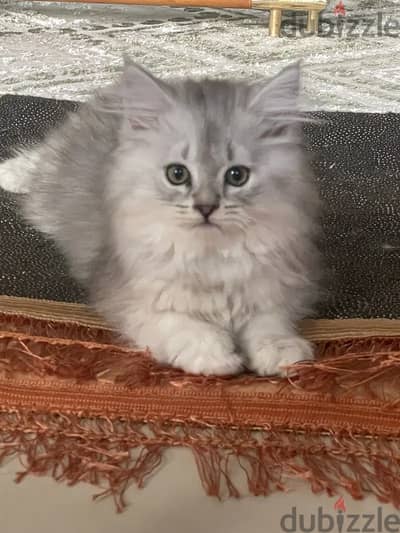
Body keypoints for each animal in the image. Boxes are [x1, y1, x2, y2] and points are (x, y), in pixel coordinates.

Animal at [0, 59, 318, 374]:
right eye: (177, 174)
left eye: (236, 176)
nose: (206, 207)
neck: (210, 257)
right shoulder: (130, 296)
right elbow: (181, 326)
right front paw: (216, 357)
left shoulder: (276, 288)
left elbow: (269, 322)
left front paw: (281, 350)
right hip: (50, 186)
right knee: (37, 164)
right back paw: (10, 175)